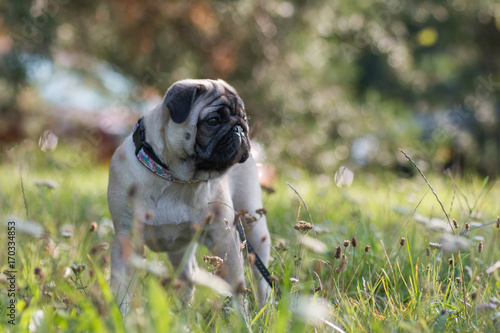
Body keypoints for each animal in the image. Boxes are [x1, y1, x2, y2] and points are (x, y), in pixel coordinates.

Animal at [105, 79, 270, 312]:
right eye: (213, 121)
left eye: (244, 118)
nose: (240, 129)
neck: (177, 178)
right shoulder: (127, 238)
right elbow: (121, 286)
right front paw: (121, 314)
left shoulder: (224, 239)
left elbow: (236, 286)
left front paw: (241, 316)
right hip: (180, 252)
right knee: (187, 277)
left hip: (254, 229)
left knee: (261, 277)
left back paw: (266, 307)